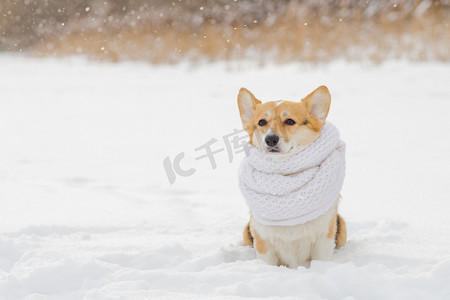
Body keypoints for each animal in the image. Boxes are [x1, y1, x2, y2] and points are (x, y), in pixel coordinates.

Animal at [237, 86, 346, 268]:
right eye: (261, 122)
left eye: (289, 121)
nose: (270, 139)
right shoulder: (263, 241)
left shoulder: (324, 238)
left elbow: (320, 261)